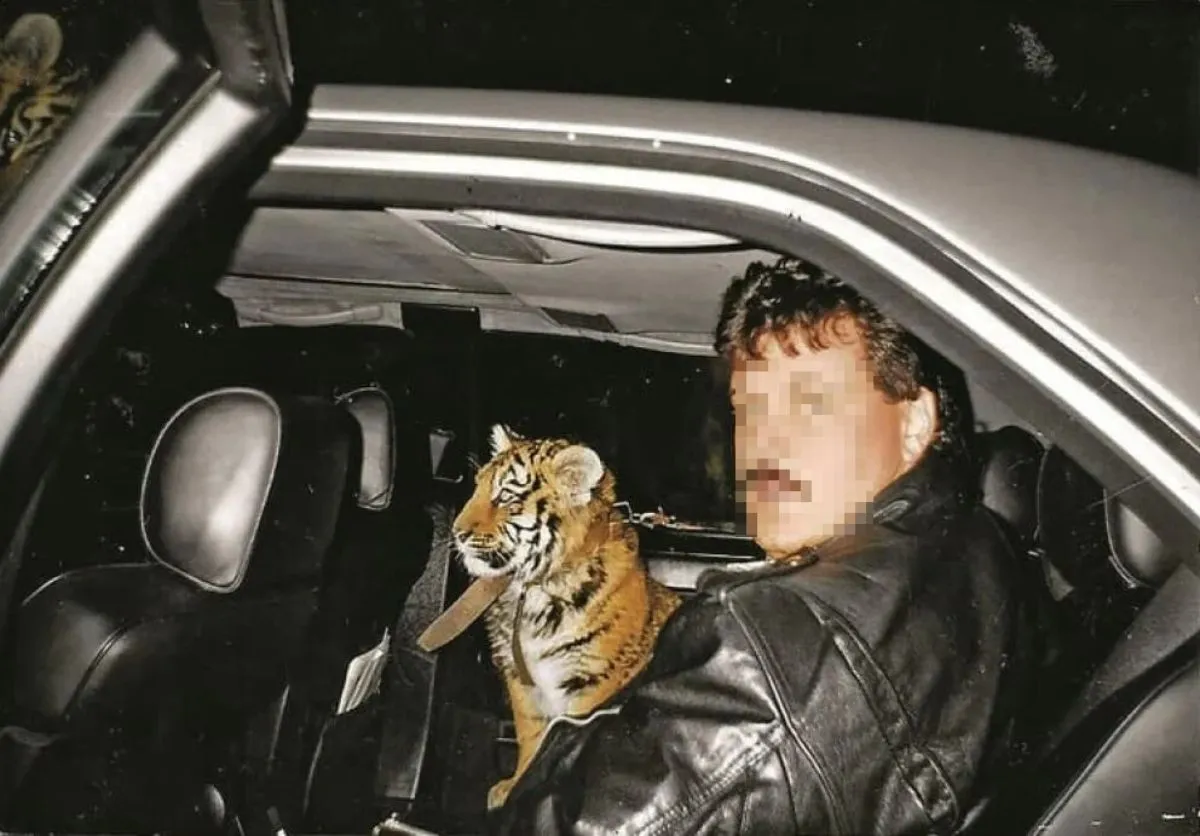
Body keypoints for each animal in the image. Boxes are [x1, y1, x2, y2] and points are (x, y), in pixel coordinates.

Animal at [452, 424, 682, 810]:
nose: (457, 532)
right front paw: (513, 787)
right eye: (476, 487)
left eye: (505, 497)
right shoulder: (520, 679)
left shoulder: (591, 681)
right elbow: (531, 737)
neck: (531, 591)